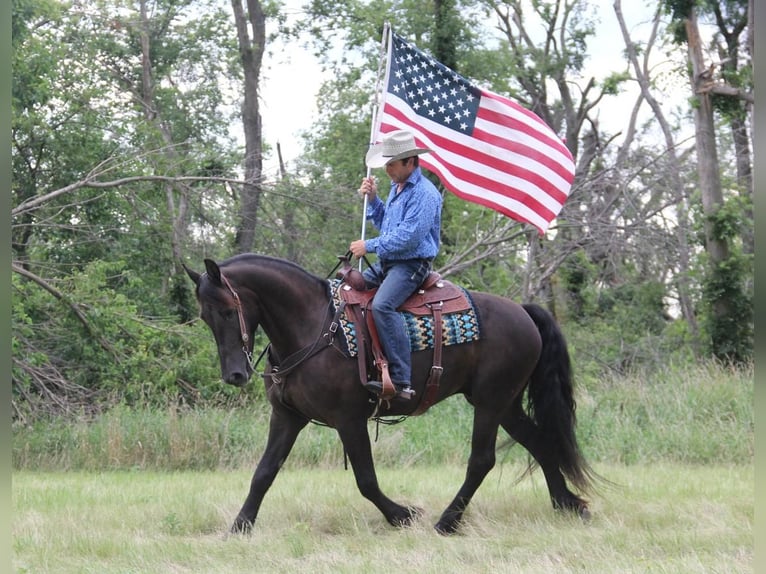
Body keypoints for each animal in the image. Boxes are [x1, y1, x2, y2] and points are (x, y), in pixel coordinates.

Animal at [184, 254, 592, 536]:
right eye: (205, 316)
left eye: (228, 310)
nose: (235, 374)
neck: (312, 327)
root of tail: (522, 311)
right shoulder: (287, 417)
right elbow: (264, 472)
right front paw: (240, 525)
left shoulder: (349, 420)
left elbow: (366, 479)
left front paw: (402, 515)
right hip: (505, 403)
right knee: (540, 442)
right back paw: (567, 503)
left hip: (491, 403)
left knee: (482, 460)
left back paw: (447, 521)